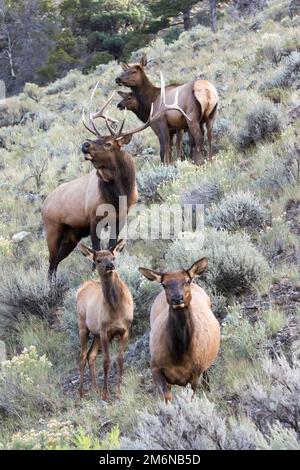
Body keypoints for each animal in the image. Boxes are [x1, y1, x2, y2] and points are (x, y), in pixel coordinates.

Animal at [75, 241, 133, 398]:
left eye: (113, 257)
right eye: (98, 260)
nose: (110, 266)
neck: (116, 309)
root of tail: (81, 288)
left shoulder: (125, 330)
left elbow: (120, 359)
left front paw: (118, 391)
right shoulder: (105, 331)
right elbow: (106, 361)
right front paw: (105, 393)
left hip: (96, 335)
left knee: (91, 355)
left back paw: (94, 388)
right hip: (83, 326)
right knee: (83, 356)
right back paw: (81, 392)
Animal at [139, 258, 220, 402]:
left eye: (187, 281)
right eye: (164, 284)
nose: (177, 298)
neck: (180, 356)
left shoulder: (195, 374)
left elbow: (191, 396)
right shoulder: (154, 367)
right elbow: (167, 396)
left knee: (206, 378)